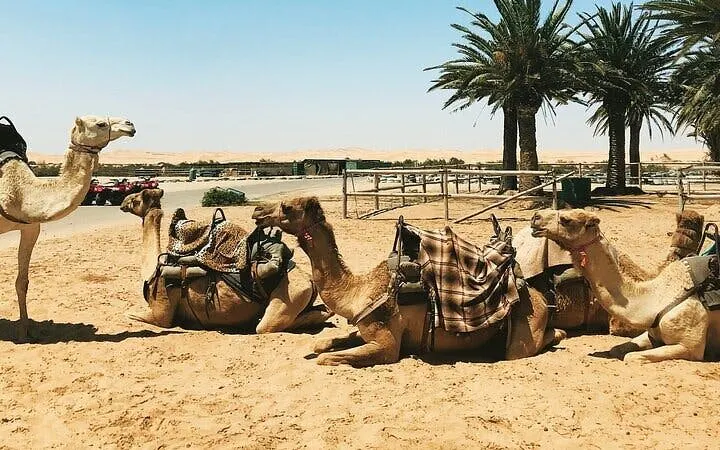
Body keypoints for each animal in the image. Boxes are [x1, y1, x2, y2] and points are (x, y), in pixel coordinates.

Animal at [0, 115, 135, 341]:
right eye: (100, 124)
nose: (130, 125)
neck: (19, 193)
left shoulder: (31, 228)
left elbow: (22, 281)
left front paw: (25, 333)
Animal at [120, 189, 332, 333]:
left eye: (136, 198)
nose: (123, 202)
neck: (153, 270)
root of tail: (309, 280)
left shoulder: (161, 312)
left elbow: (130, 313)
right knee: (323, 311)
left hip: (289, 295)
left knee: (268, 325)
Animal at [252, 196, 566, 367]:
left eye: (286, 207)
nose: (257, 212)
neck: (358, 291)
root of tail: (539, 296)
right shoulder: (366, 328)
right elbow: (322, 346)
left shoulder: (387, 344)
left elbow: (327, 358)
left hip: (524, 329)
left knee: (527, 346)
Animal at [530, 209, 720, 362]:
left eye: (566, 219)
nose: (535, 217)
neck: (656, 298)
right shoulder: (650, 333)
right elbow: (618, 349)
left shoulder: (690, 347)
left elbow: (631, 357)